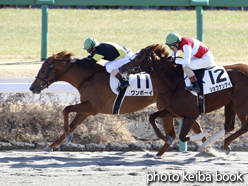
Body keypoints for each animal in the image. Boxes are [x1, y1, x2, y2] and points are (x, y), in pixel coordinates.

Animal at [29, 50, 205, 155]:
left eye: (43, 70)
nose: (32, 87)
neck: (88, 77)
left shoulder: (91, 107)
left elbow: (65, 109)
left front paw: (66, 137)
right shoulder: (86, 109)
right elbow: (73, 123)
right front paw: (52, 145)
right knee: (195, 126)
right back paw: (207, 149)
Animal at [118, 44, 248, 154]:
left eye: (140, 55)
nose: (121, 68)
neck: (173, 82)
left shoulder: (191, 115)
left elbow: (183, 136)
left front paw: (203, 135)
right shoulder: (173, 111)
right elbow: (152, 117)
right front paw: (166, 138)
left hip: (240, 104)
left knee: (244, 126)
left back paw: (222, 143)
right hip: (230, 103)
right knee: (229, 126)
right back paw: (218, 145)